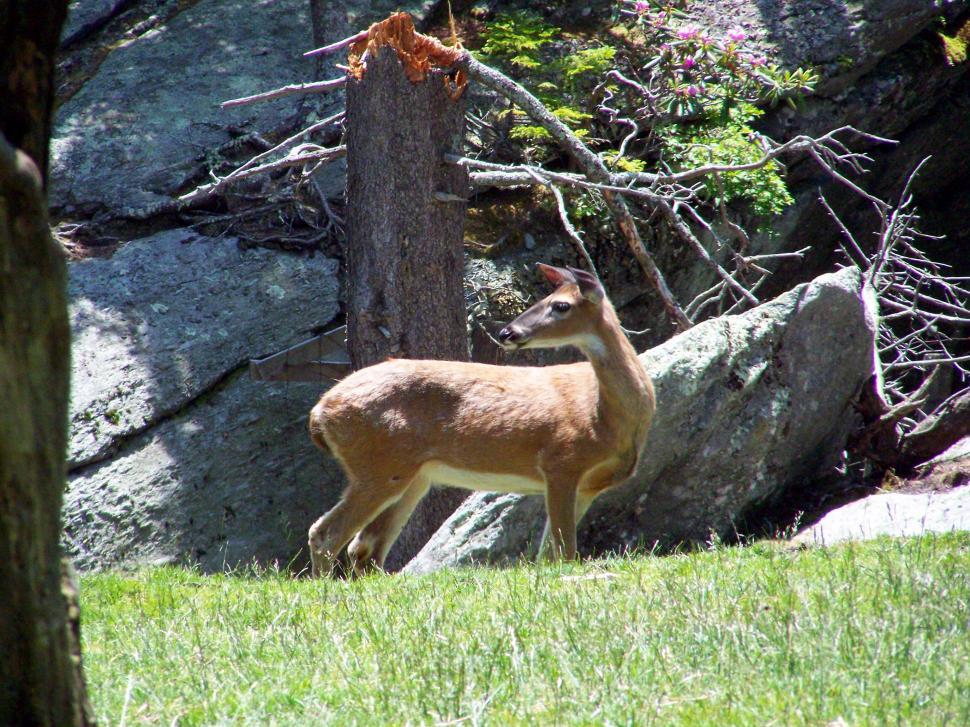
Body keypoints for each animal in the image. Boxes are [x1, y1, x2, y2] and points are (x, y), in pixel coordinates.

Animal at [306, 264, 656, 576]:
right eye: (544, 299)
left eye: (560, 305)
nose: (507, 332)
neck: (603, 418)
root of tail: (319, 411)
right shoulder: (560, 462)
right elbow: (564, 552)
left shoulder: (588, 486)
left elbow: (547, 555)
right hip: (378, 466)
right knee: (326, 534)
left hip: (412, 476)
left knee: (365, 548)